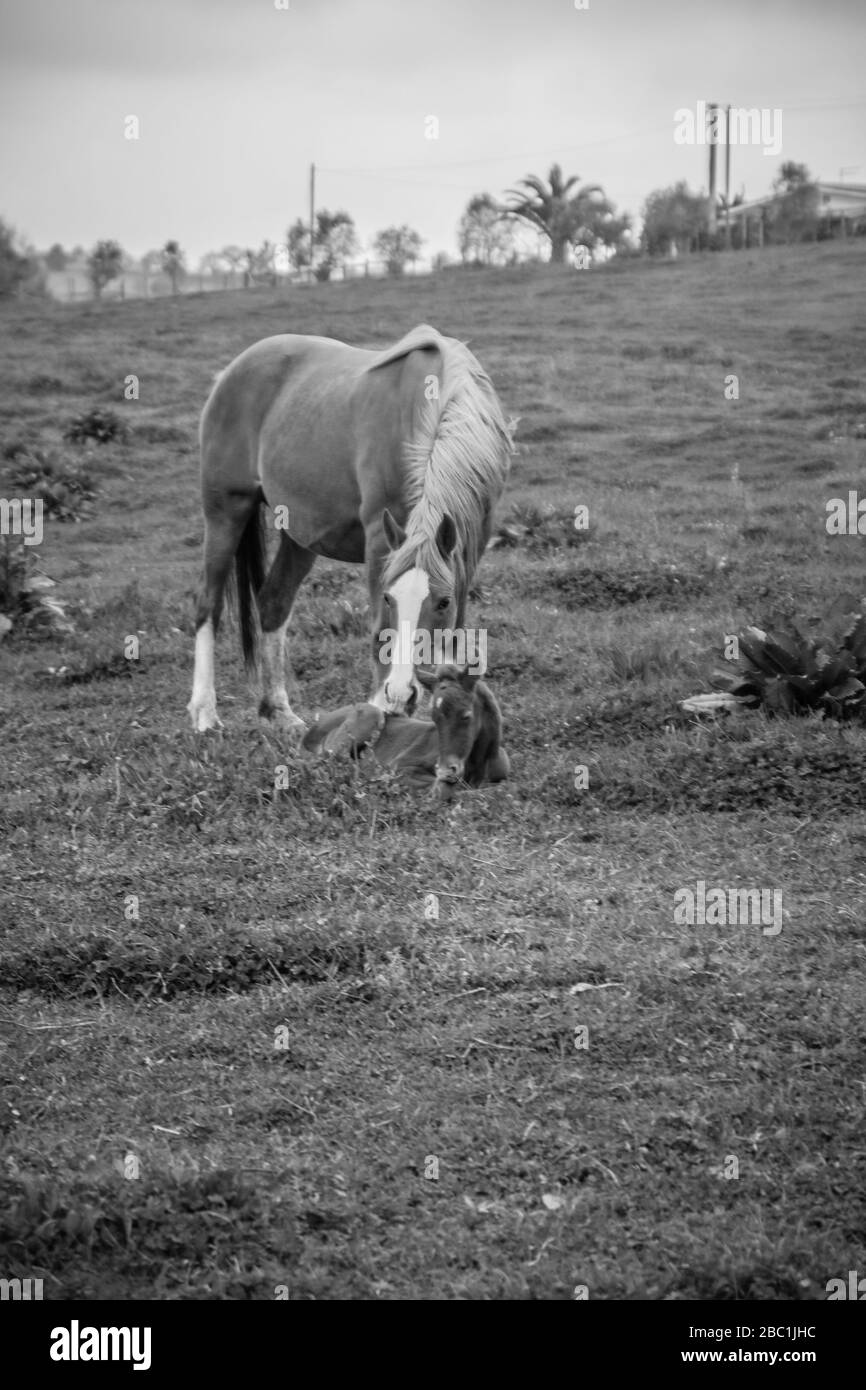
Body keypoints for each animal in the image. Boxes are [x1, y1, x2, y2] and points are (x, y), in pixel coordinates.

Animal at [187, 329, 514, 733]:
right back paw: (204, 712)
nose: (402, 693)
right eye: (389, 598)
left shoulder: (468, 550)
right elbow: (379, 631)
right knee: (209, 604)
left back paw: (279, 711)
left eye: (442, 602)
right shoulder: (380, 540)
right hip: (226, 511)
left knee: (273, 603)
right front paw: (382, 707)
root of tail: (230, 373)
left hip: (298, 534)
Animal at [301, 664, 511, 800]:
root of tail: (312, 729)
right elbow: (443, 788)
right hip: (370, 715)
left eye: (466, 715)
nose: (445, 770)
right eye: (434, 718)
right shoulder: (400, 766)